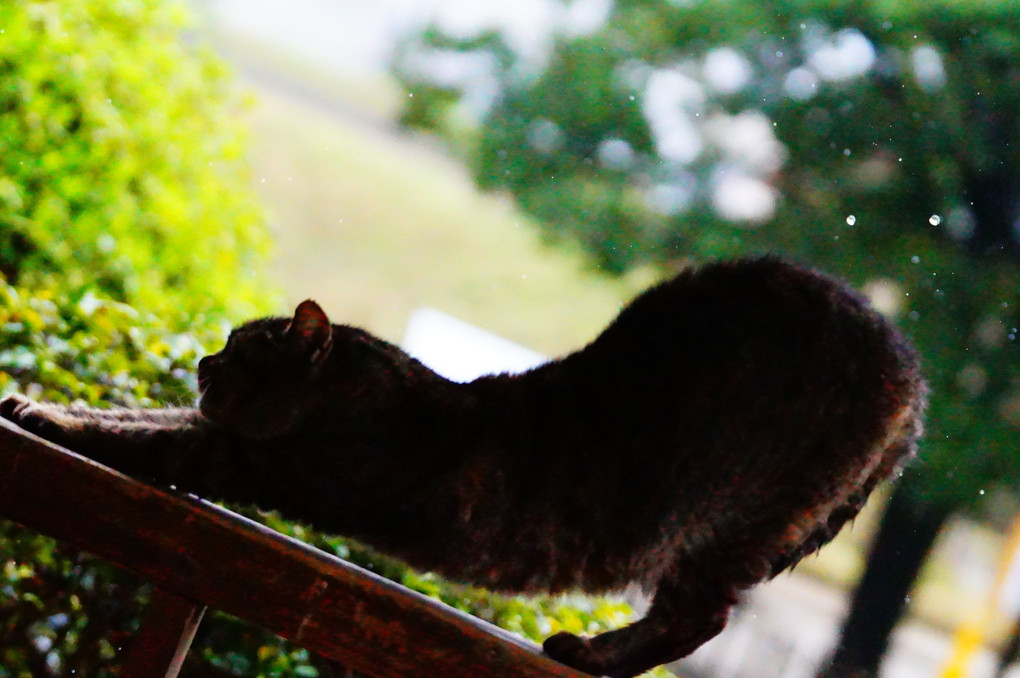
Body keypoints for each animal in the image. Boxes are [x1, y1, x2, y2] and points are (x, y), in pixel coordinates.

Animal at [0, 254, 926, 676]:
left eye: (238, 351)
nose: (199, 361)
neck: (368, 392)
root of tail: (911, 373)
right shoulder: (229, 439)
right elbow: (135, 414)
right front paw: (36, 400)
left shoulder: (244, 455)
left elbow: (141, 435)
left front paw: (45, 413)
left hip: (720, 526)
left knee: (702, 617)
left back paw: (594, 653)